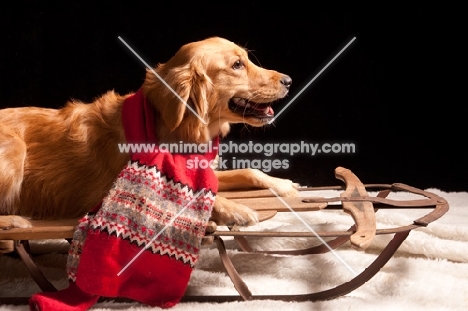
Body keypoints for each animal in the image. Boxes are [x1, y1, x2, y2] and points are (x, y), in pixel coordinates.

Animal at [0, 37, 300, 241]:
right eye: (237, 65)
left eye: (247, 59)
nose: (289, 80)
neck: (178, 128)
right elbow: (189, 195)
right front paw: (237, 210)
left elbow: (249, 171)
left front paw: (283, 184)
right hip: (15, 148)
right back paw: (15, 220)